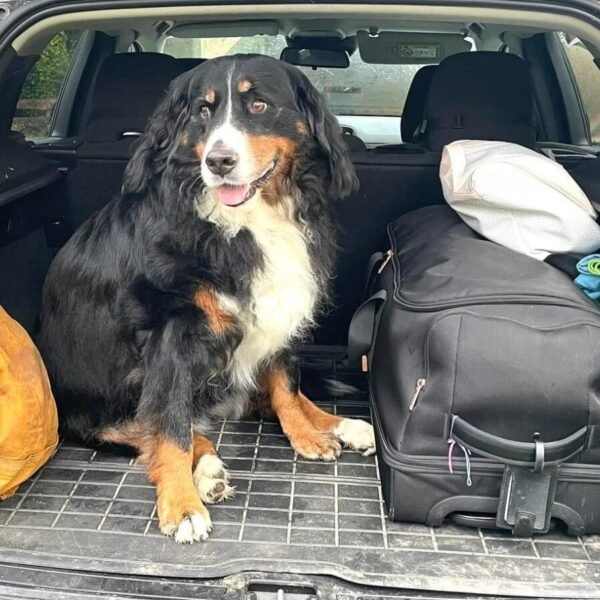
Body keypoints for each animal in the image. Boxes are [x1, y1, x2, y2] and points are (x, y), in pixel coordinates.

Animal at [38, 55, 376, 544]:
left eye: (259, 104)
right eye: (202, 111)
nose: (219, 161)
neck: (246, 222)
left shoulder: (280, 308)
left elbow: (285, 386)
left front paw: (306, 434)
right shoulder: (173, 334)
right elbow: (170, 425)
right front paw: (181, 506)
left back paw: (340, 425)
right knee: (146, 425)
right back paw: (208, 469)